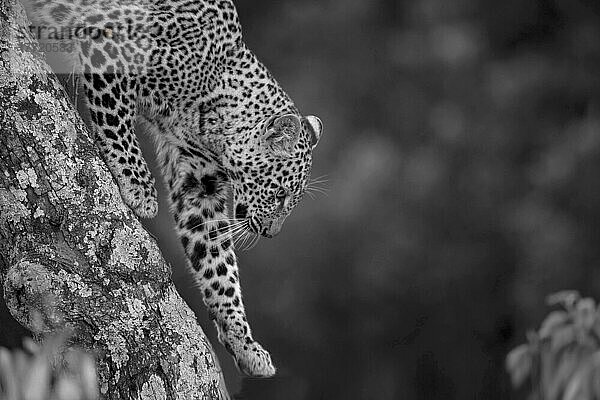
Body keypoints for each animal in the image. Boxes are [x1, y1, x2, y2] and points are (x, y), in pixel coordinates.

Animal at [24, 0, 324, 378]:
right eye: (280, 193)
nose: (272, 233)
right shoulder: (107, 39)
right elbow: (117, 122)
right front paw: (139, 187)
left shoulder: (199, 185)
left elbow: (218, 265)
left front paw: (244, 343)